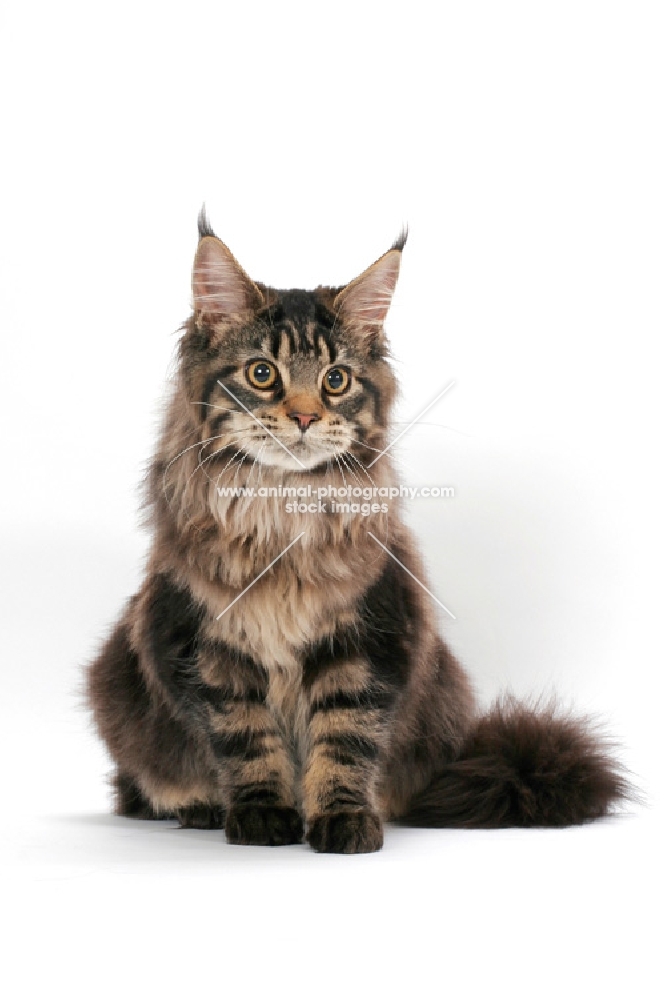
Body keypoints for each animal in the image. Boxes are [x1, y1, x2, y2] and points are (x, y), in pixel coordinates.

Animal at [84, 211, 628, 852]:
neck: (284, 514)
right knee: (141, 784)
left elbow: (345, 739)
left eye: (336, 380)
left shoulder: (367, 636)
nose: (303, 416)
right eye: (262, 374)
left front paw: (343, 822)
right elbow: (247, 739)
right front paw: (264, 817)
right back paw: (198, 807)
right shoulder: (208, 647)